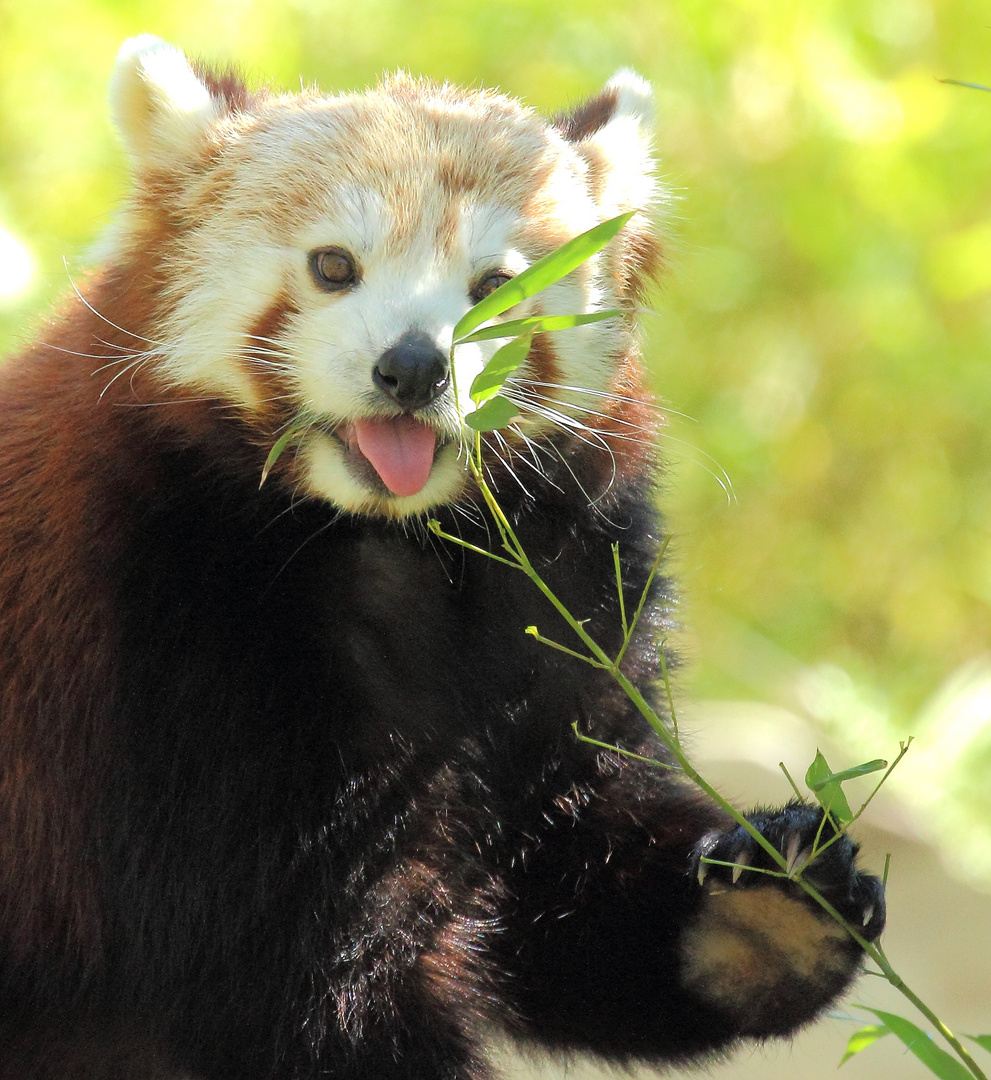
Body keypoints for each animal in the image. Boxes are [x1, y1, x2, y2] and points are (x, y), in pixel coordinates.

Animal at [0, 39, 885, 1080]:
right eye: (333, 266)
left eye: (492, 285)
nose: (415, 368)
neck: (393, 537)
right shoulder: (157, 631)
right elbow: (293, 973)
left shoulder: (564, 599)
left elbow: (567, 869)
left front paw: (765, 911)